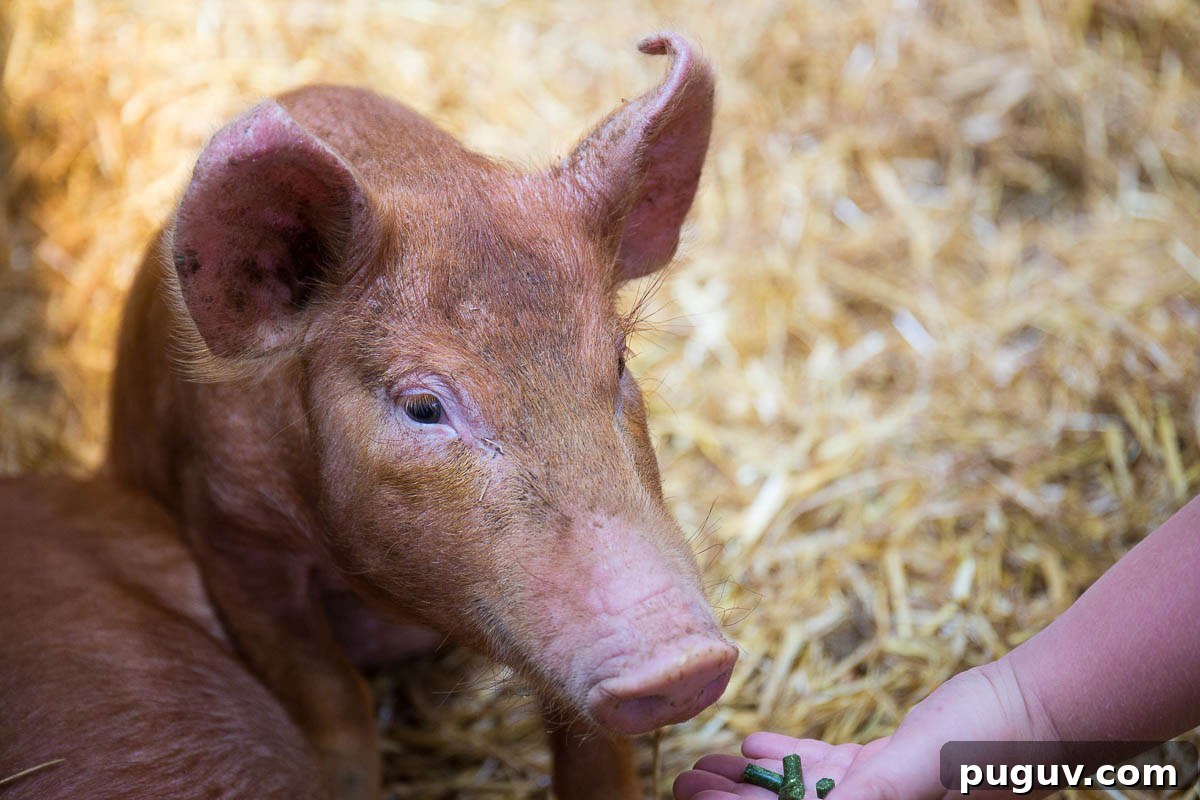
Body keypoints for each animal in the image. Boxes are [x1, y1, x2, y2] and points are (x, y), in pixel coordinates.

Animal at [107, 33, 736, 799]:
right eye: (423, 407)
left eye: (619, 362)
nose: (685, 661)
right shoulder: (228, 524)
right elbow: (331, 695)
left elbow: (592, 745)